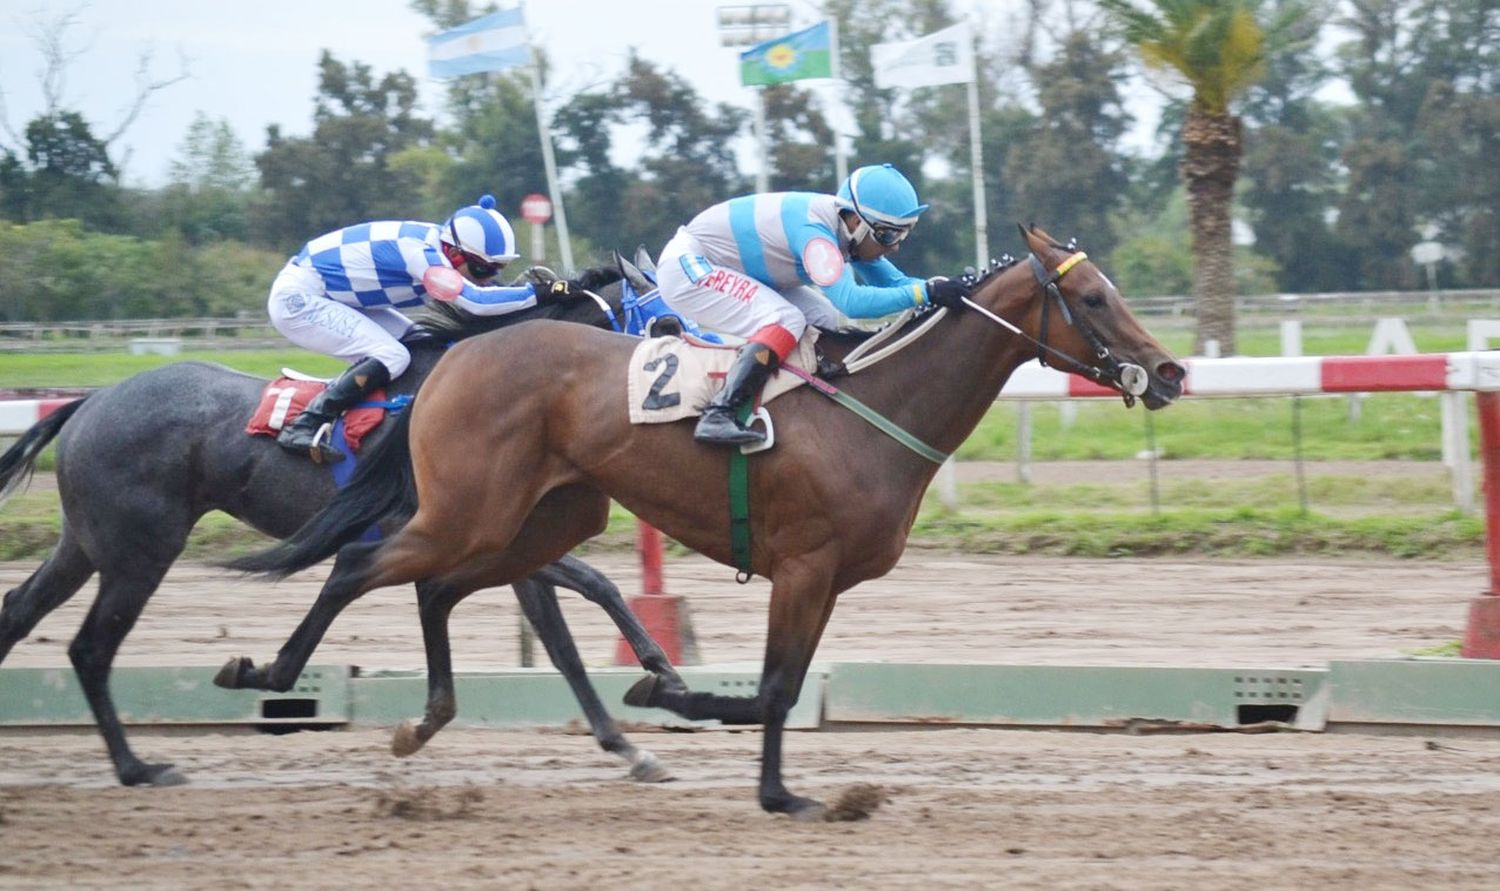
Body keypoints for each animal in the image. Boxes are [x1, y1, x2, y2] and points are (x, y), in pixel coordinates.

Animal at [0, 267, 681, 780]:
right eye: (666, 322)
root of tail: (91, 400)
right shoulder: (465, 532)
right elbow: (571, 615)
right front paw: (646, 701)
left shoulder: (504, 540)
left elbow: (577, 616)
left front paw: (643, 711)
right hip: (140, 551)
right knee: (91, 647)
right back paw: (138, 766)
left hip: (87, 543)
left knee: (22, 613)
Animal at [225, 225, 1182, 816]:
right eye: (1097, 299)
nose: (1171, 372)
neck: (875, 406)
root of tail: (456, 355)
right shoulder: (803, 567)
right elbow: (773, 688)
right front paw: (692, 712)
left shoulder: (824, 579)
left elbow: (779, 684)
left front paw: (751, 766)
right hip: (471, 509)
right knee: (362, 567)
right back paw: (265, 671)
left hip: (540, 521)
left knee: (439, 589)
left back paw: (422, 717)